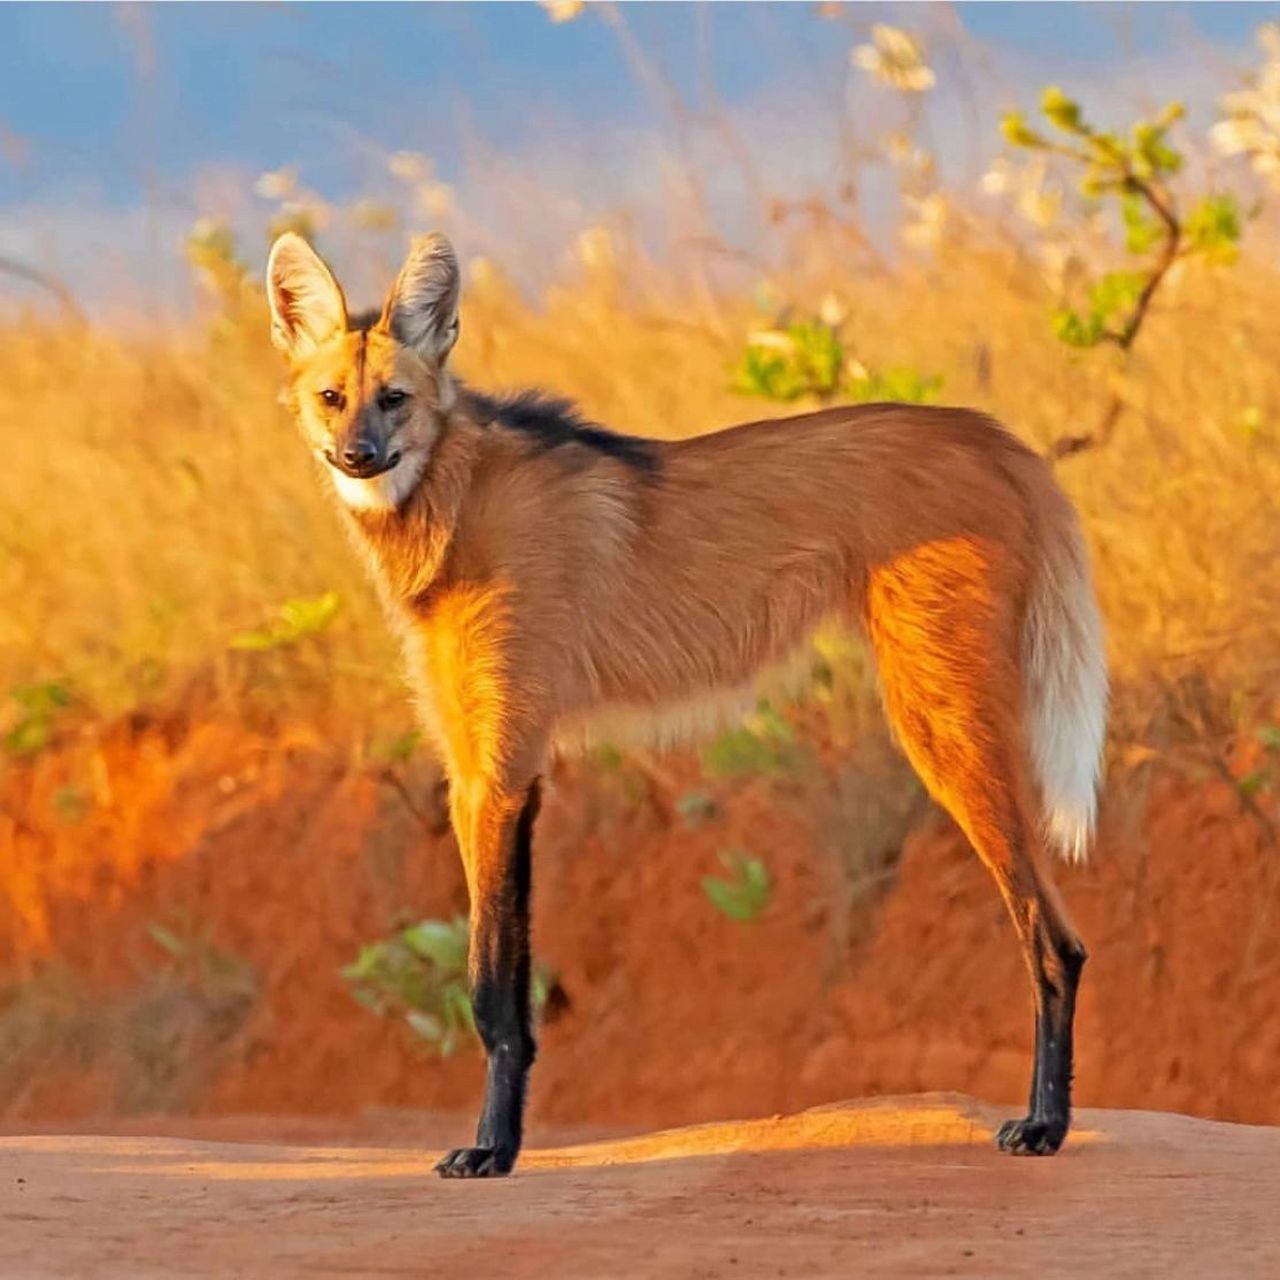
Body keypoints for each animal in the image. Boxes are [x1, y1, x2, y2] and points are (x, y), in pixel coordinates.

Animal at [270, 232, 1111, 1177]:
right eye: (333, 399)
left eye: (395, 399)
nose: (358, 455)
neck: (455, 502)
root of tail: (998, 435)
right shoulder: (472, 764)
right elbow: (502, 977)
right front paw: (499, 1140)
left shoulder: (504, 766)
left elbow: (493, 989)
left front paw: (492, 1149)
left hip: (940, 721)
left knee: (1054, 940)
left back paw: (1044, 1125)